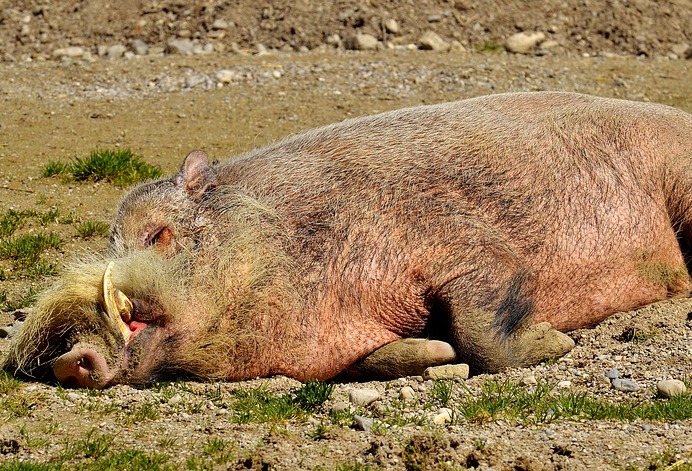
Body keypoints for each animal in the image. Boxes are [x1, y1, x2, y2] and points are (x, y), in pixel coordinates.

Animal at [1, 90, 692, 390]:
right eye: (111, 240)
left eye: (159, 233)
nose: (66, 356)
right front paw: (436, 356)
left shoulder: (464, 243)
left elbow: (485, 326)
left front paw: (557, 341)